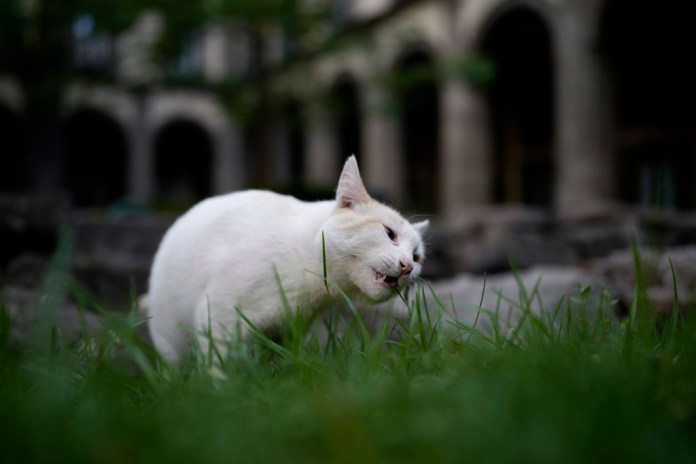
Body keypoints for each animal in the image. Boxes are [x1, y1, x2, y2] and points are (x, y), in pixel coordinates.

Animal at [150, 156, 426, 362]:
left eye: (417, 257)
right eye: (389, 234)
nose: (407, 266)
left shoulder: (289, 332)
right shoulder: (219, 317)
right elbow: (220, 365)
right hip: (170, 334)